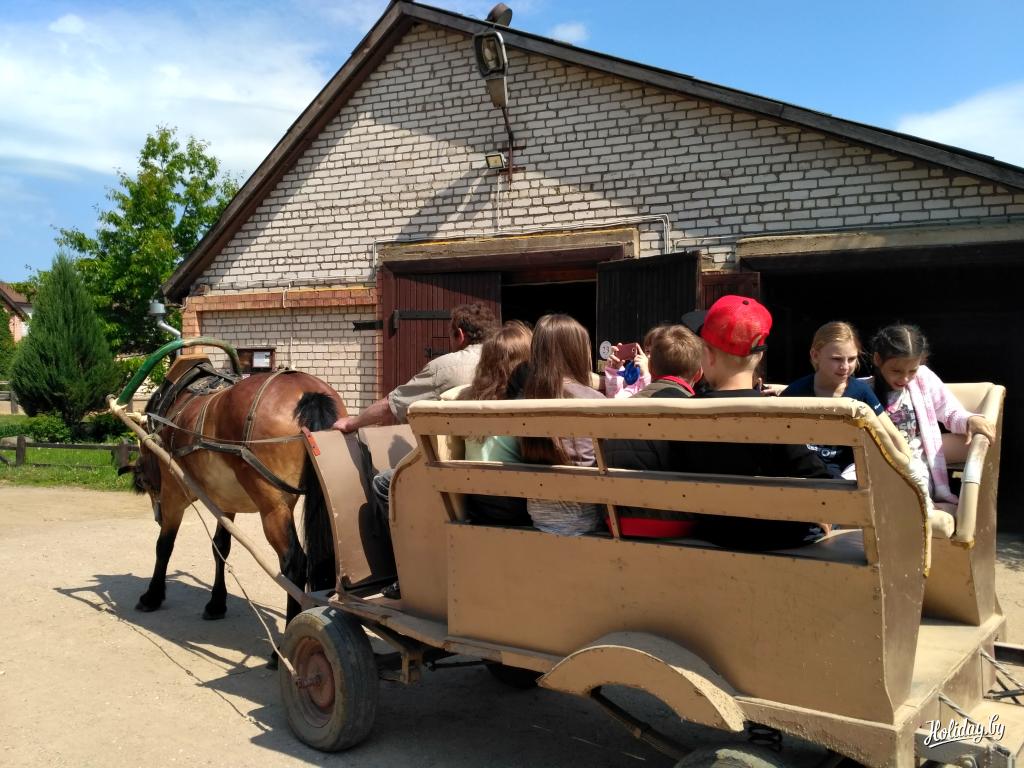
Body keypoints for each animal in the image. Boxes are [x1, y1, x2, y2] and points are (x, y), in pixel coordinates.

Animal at [119, 364, 344, 651]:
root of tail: (308, 393)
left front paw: (152, 595)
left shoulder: (172, 493)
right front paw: (216, 603)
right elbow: (220, 548)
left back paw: (282, 649)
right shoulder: (225, 502)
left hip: (272, 506)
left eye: (146, 483)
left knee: (294, 563)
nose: (156, 515)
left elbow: (164, 545)